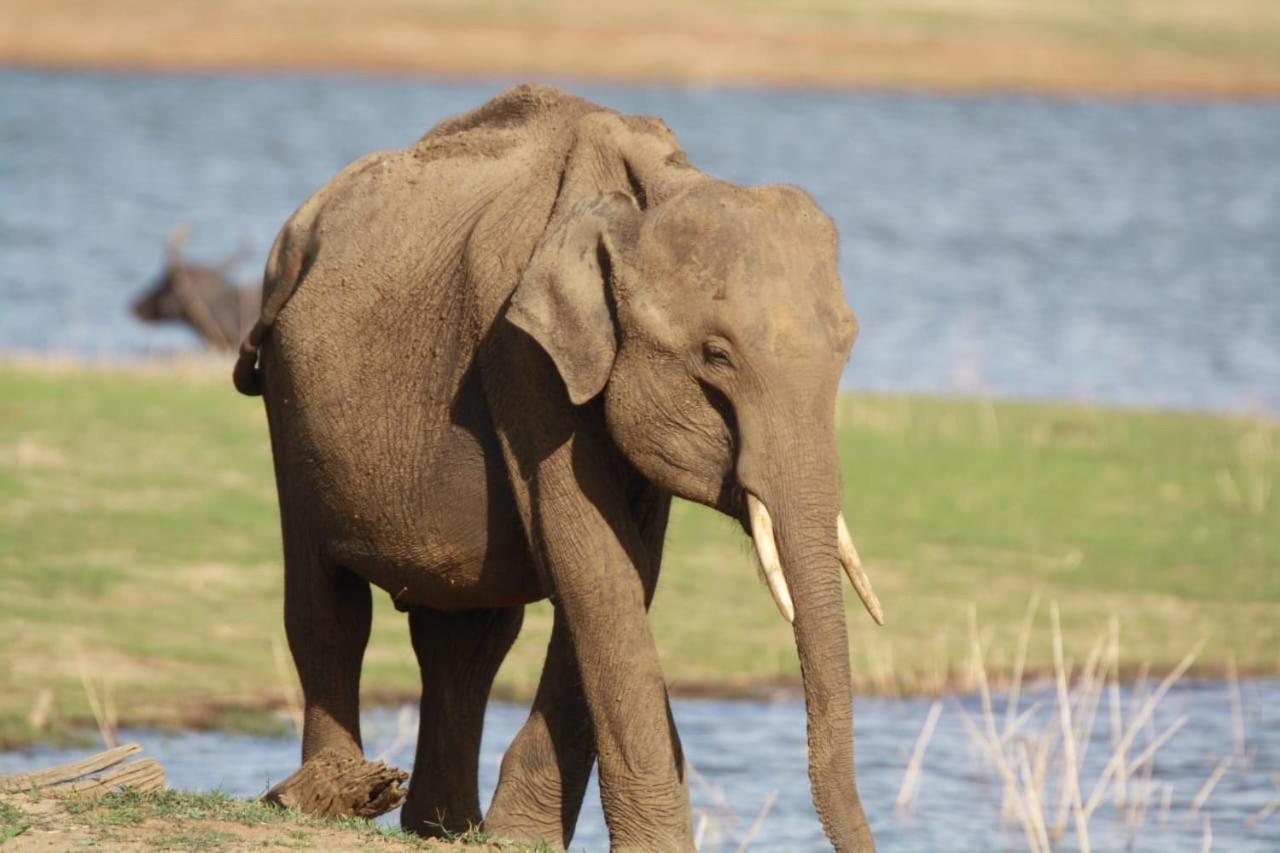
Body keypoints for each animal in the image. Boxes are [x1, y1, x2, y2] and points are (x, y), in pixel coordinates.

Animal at [235, 81, 885, 850]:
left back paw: (442, 826)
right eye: (717, 356)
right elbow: (595, 562)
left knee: (465, 638)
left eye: (847, 346)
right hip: (287, 399)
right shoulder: (520, 352)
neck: (648, 190)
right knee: (328, 609)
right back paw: (336, 796)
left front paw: (520, 836)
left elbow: (627, 567)